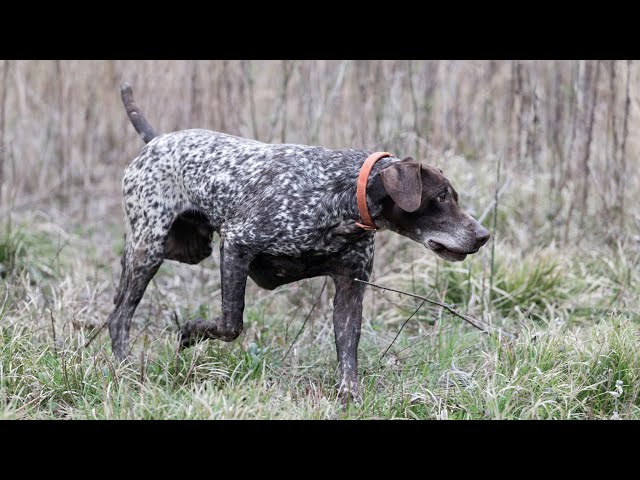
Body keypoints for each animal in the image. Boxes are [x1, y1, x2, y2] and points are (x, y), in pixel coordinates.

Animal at [110, 82, 490, 402]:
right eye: (440, 198)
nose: (483, 236)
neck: (341, 199)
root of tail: (156, 140)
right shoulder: (235, 245)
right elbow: (231, 324)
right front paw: (190, 332)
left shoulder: (350, 286)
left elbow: (348, 350)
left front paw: (349, 395)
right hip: (150, 248)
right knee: (120, 313)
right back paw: (124, 365)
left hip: (190, 248)